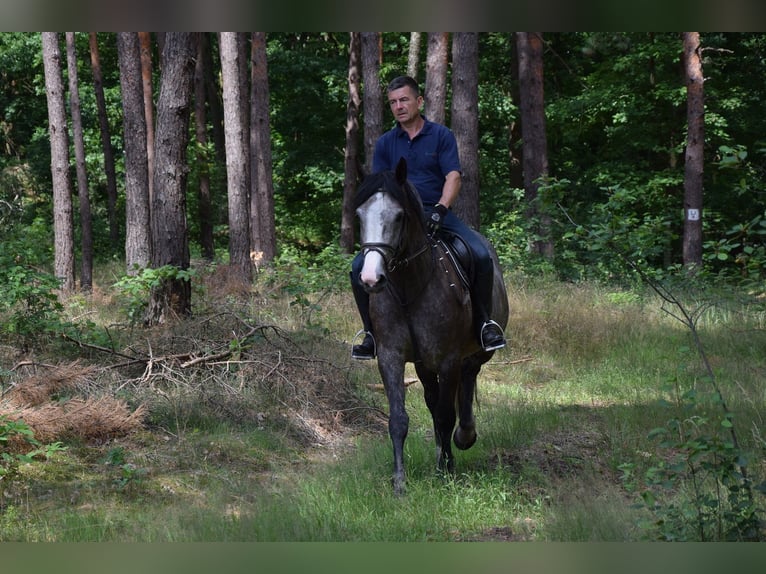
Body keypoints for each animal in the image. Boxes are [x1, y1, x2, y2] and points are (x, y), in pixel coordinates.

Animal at [354, 157, 509, 495]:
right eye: (359, 215)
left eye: (399, 216)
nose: (371, 279)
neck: (409, 288)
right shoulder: (391, 357)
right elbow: (400, 418)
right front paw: (400, 481)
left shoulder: (449, 358)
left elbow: (446, 413)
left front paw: (445, 470)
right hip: (425, 364)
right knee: (432, 398)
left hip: (475, 353)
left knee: (466, 382)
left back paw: (464, 437)